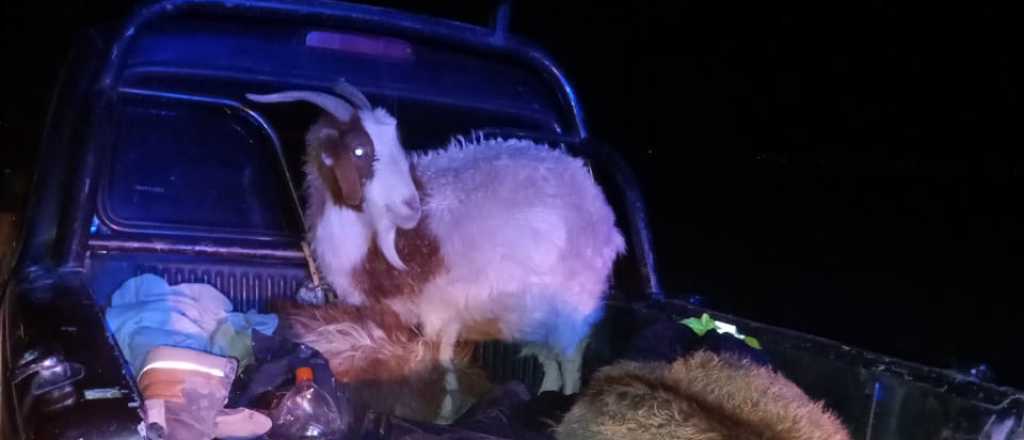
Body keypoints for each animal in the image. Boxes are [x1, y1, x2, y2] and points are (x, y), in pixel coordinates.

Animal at [247, 81, 625, 422]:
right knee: (549, 360)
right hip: (529, 316)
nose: (411, 205)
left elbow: (439, 359)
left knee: (571, 359)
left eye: (397, 144)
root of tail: (597, 202)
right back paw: (544, 393)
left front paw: (444, 410)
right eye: (358, 151)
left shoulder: (440, 307)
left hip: (573, 304)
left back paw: (566, 400)